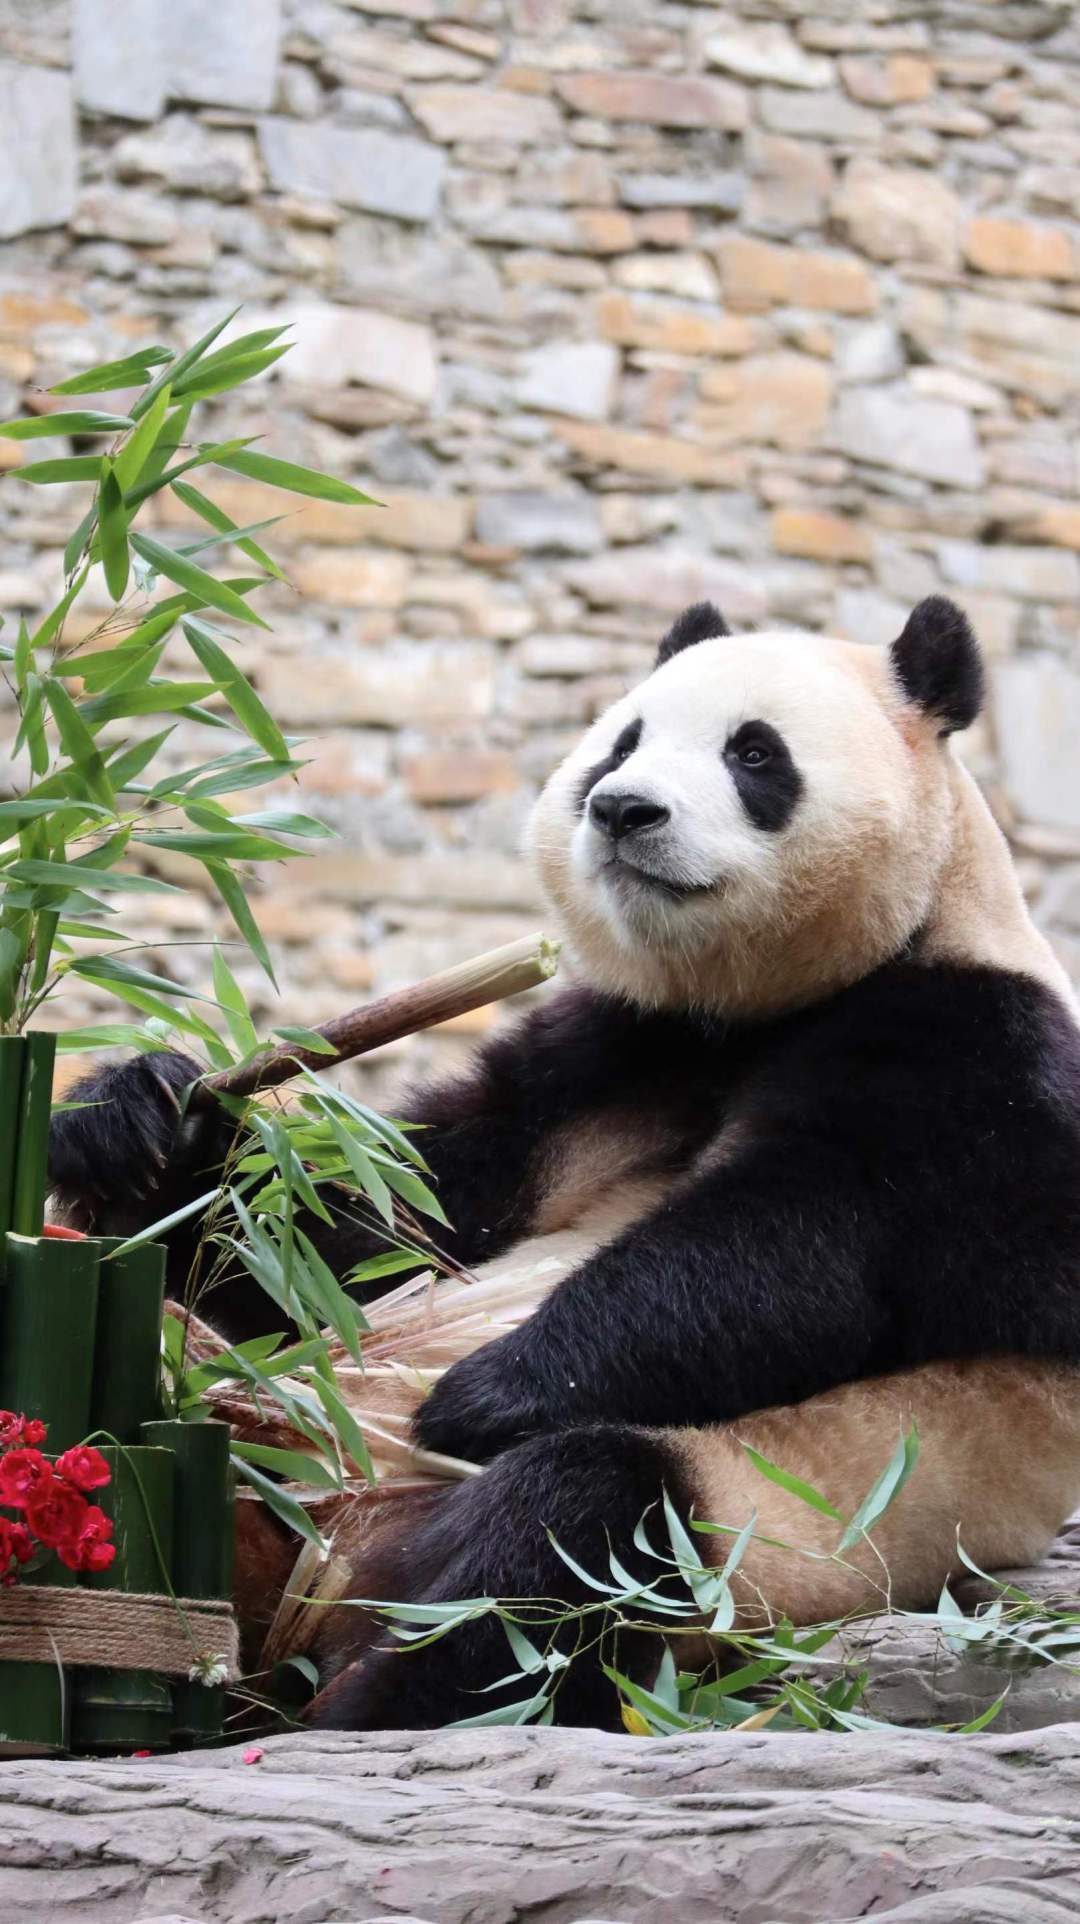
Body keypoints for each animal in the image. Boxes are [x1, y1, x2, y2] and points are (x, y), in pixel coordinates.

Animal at [49, 595, 1080, 1731]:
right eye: (620, 744)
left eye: (754, 753)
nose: (625, 809)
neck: (748, 1009)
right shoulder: (611, 1048)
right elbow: (380, 1226)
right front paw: (133, 1125)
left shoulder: (974, 1053)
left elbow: (799, 1250)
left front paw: (477, 1396)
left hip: (778, 1524)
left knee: (563, 1542)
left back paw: (368, 1694)